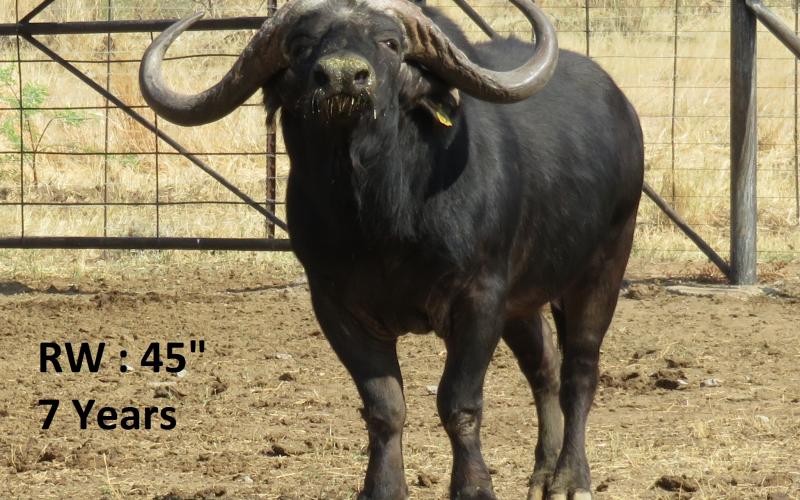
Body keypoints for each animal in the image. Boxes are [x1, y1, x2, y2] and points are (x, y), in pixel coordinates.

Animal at [139, 0, 644, 498]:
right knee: (544, 368)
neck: (382, 219)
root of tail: (623, 110)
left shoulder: (480, 297)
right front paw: (383, 487)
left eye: (390, 43)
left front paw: (473, 488)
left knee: (580, 370)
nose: (343, 76)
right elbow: (384, 406)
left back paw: (570, 479)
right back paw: (541, 475)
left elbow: (459, 403)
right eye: (300, 45)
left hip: (604, 266)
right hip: (524, 299)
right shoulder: (336, 306)